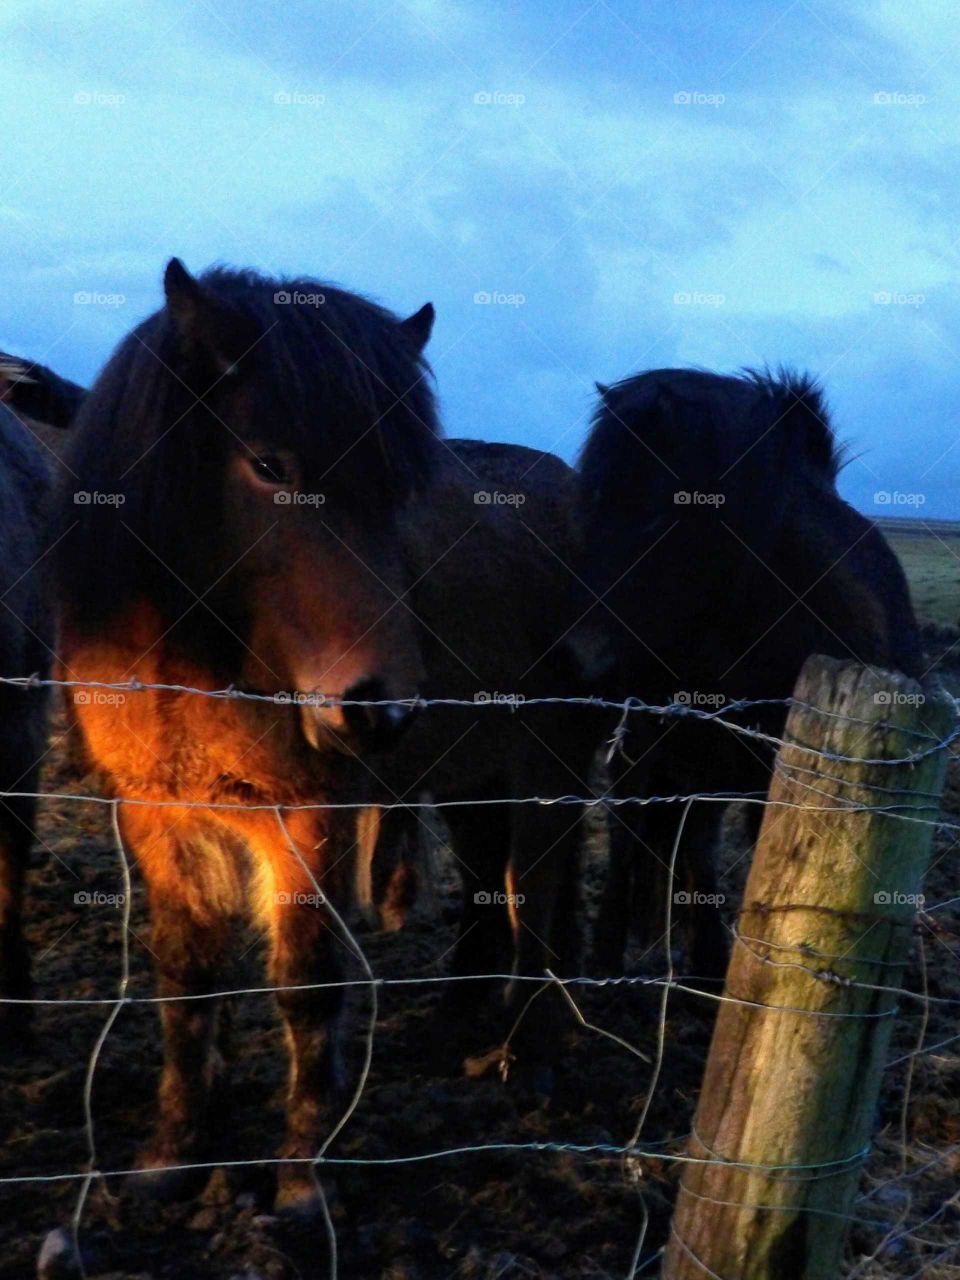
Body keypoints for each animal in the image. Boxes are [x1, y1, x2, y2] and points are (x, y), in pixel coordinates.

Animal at [54, 257, 601, 1208]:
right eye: (269, 464)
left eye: (399, 490)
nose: (380, 708)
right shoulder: (159, 813)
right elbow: (185, 979)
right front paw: (173, 1154)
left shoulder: (313, 814)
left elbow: (308, 987)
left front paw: (303, 1179)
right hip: (475, 777)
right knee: (499, 893)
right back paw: (460, 1024)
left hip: (550, 769)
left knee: (535, 897)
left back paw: (527, 1061)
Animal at [570, 371, 926, 977]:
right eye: (589, 505)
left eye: (657, 514)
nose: (582, 658)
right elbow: (678, 848)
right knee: (633, 837)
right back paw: (611, 955)